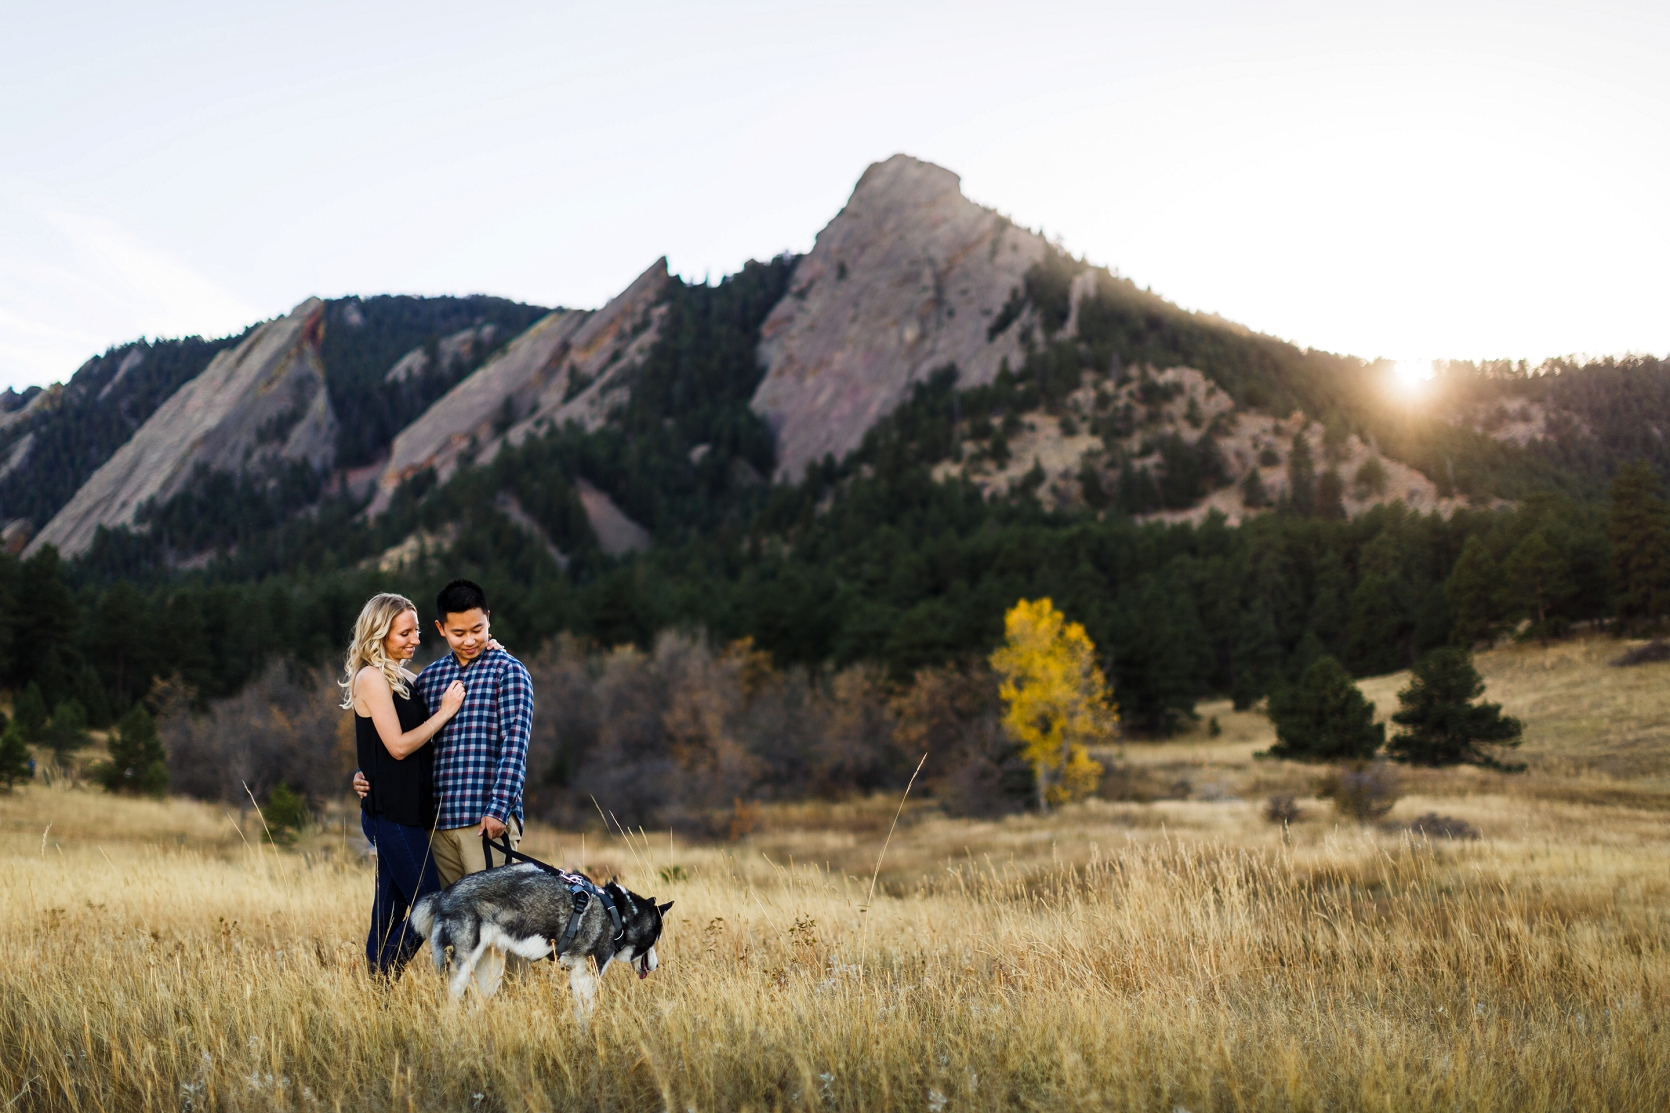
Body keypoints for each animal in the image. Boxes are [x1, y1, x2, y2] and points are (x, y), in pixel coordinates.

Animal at [410, 862, 671, 1016]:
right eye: (656, 939)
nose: (657, 966)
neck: (620, 914)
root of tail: (444, 895)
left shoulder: (577, 975)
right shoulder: (586, 975)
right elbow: (586, 1017)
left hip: (491, 969)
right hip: (462, 969)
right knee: (449, 1008)